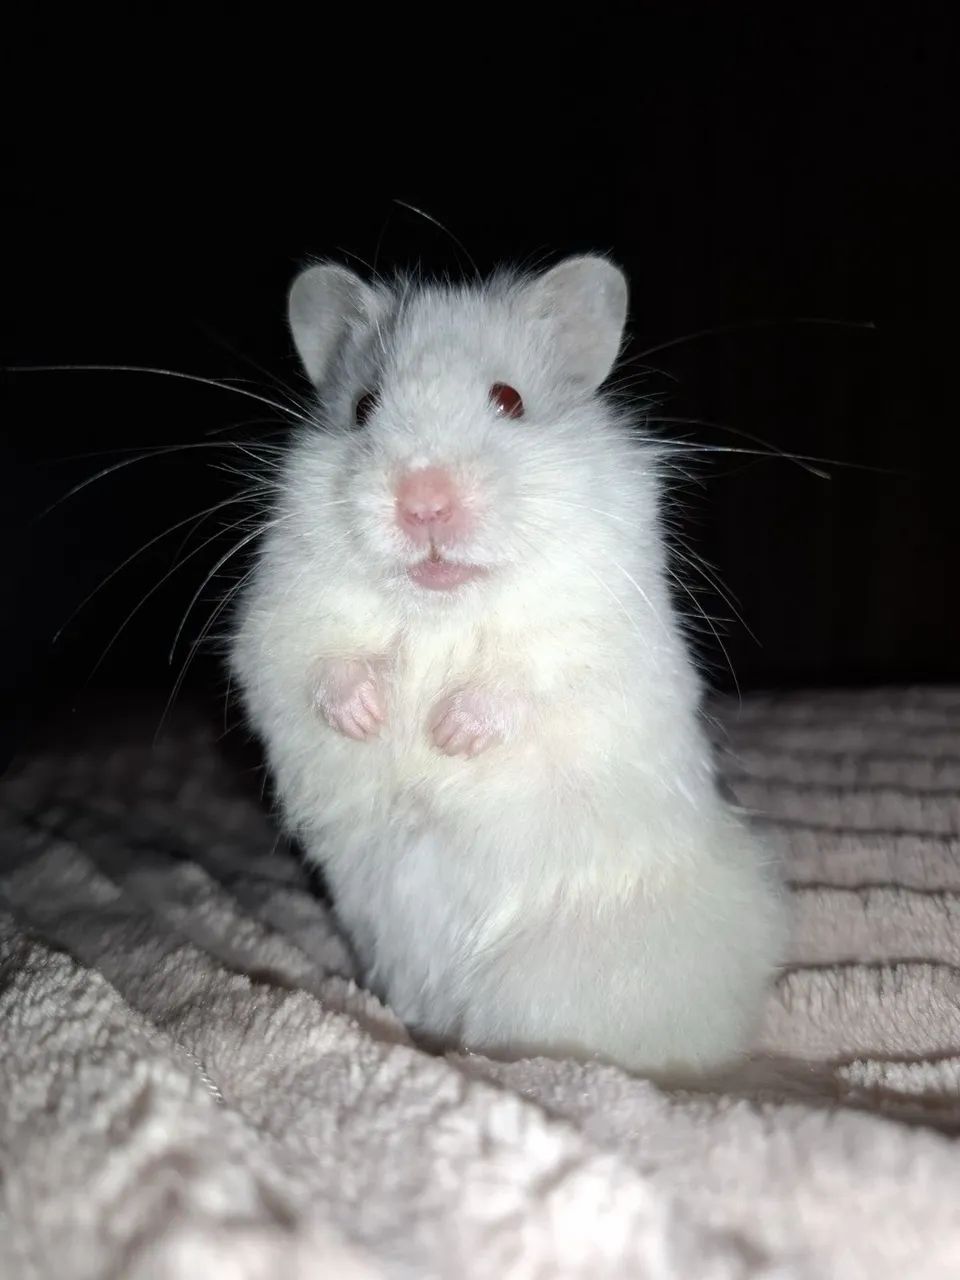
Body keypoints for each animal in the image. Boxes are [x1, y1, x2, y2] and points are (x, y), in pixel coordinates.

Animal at [229, 255, 786, 1077]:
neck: (443, 606)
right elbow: (316, 665)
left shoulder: (597, 637)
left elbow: (531, 678)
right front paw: (372, 716)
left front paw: (447, 736)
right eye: (362, 408)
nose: (423, 503)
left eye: (509, 401)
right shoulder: (276, 622)